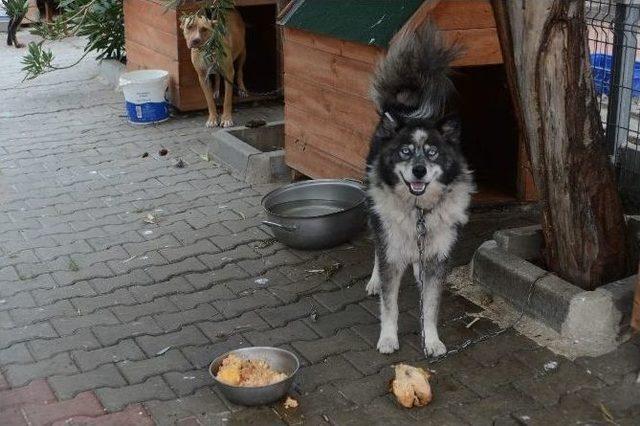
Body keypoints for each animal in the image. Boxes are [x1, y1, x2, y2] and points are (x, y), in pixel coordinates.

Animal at [362, 25, 472, 358]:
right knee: (376, 249)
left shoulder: (438, 262)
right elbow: (390, 305)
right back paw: (373, 280)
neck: (418, 211)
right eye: (406, 151)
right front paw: (388, 338)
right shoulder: (391, 252)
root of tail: (404, 108)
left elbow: (430, 308)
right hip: (375, 218)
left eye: (433, 153)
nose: (419, 171)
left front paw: (432, 340)